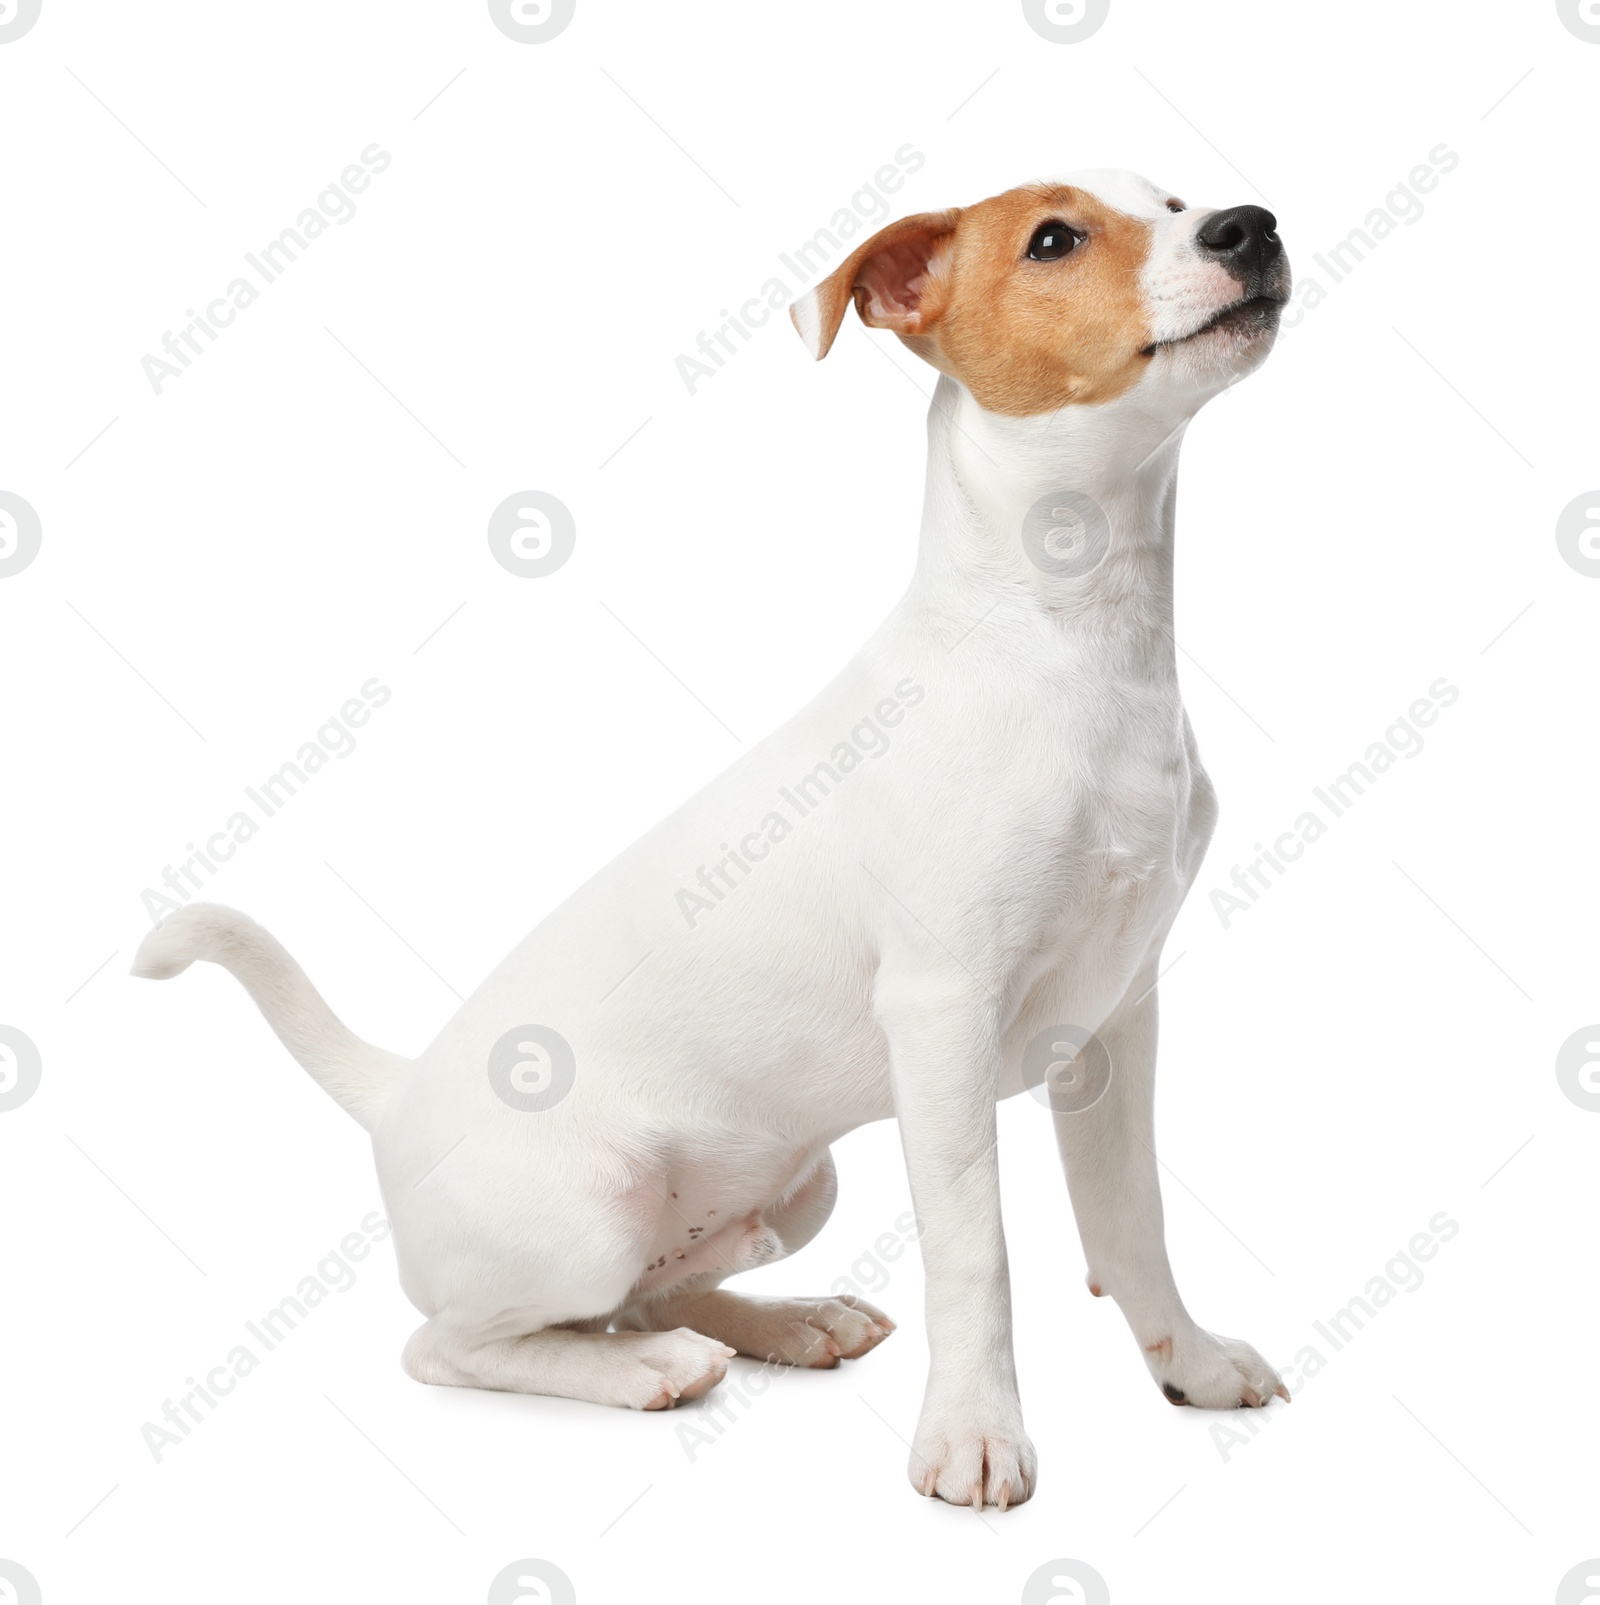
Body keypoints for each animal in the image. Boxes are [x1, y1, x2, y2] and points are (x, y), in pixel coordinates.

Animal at [134, 169, 1283, 1508]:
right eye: (1052, 238)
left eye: (1177, 198)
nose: (1250, 227)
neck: (1068, 643)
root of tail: (401, 1088)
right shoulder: (944, 1017)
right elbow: (977, 1255)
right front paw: (973, 1436)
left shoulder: (1113, 1022)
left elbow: (1130, 1220)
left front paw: (1189, 1364)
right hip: (585, 1213)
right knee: (463, 1341)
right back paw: (646, 1373)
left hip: (798, 1187)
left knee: (649, 1291)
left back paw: (786, 1323)